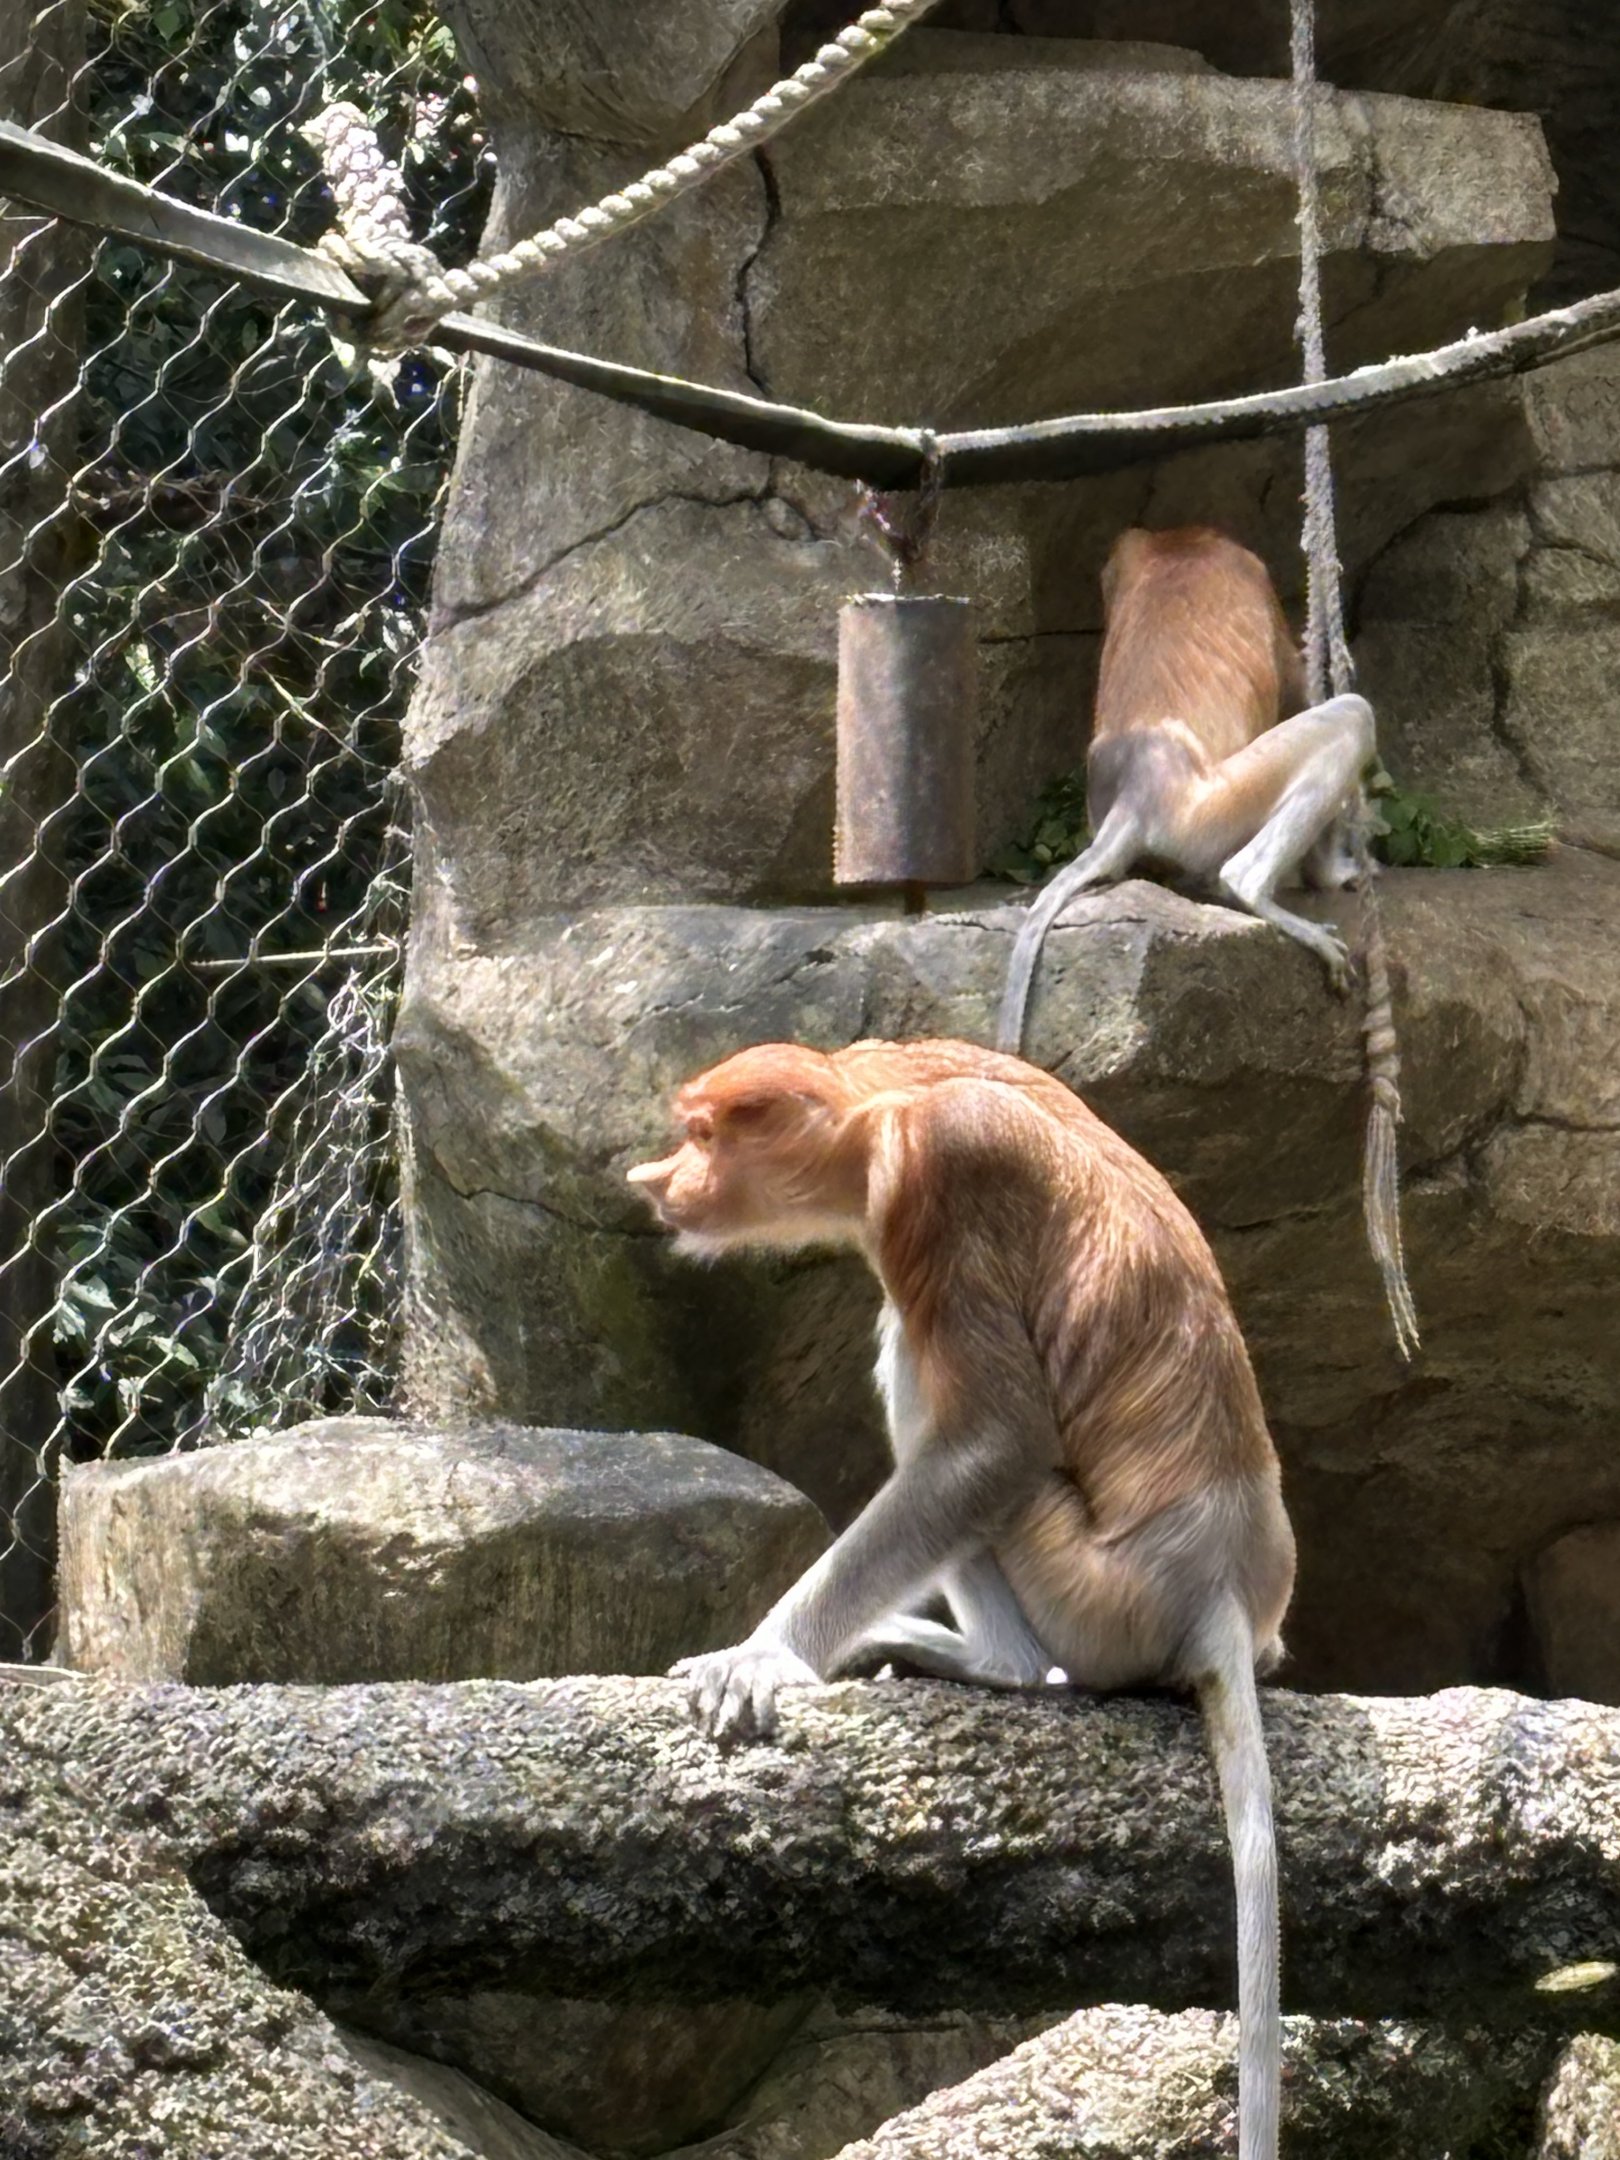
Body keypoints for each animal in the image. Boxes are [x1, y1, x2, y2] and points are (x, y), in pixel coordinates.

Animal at [628, 1035, 1292, 2160]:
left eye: (705, 1136)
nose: (661, 1181)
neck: (880, 1097)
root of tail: (1221, 1594)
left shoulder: (936, 1179)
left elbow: (992, 1439)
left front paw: (762, 1656)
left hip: (1084, 1580)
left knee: (917, 1363)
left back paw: (996, 1665)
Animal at [997, 524, 1375, 1056]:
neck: (1180, 546)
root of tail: (1138, 795)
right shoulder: (1255, 575)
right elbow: (1299, 694)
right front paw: (1335, 873)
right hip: (1213, 809)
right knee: (1352, 715)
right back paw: (1256, 891)